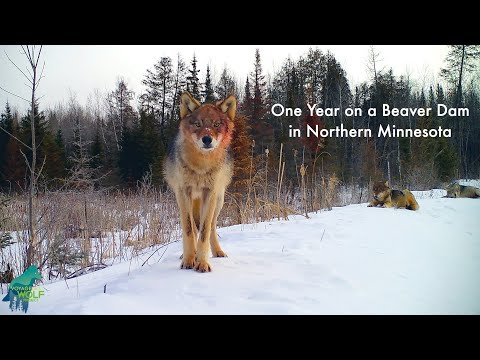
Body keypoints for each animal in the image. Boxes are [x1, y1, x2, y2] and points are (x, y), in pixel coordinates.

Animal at [164, 91, 237, 272]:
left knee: (211, 226)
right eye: (197, 124)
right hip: (188, 201)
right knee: (192, 225)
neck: (200, 167)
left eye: (217, 124)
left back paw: (217, 251)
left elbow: (204, 230)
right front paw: (189, 260)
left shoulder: (209, 193)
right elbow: (189, 229)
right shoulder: (183, 193)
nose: (207, 139)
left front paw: (202, 263)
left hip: (218, 201)